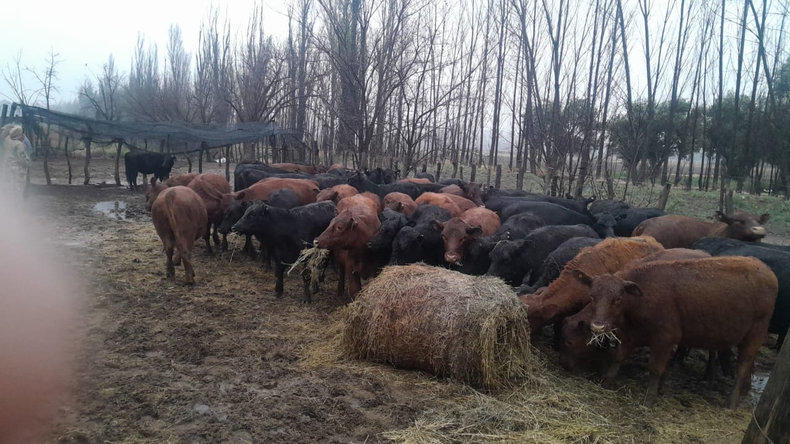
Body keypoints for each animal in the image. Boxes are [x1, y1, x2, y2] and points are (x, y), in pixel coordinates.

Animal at [577, 256, 777, 408]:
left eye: (618, 298)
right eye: (592, 296)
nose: (598, 327)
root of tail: (765, 268)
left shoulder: (664, 338)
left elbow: (655, 368)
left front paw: (650, 397)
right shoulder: (630, 336)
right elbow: (618, 358)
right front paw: (607, 382)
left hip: (755, 333)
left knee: (743, 366)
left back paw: (732, 401)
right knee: (750, 365)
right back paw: (744, 391)